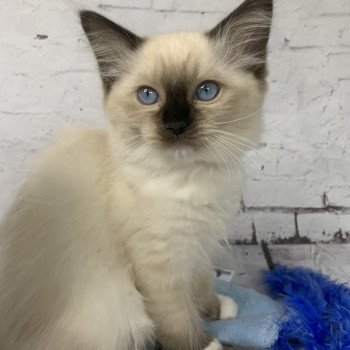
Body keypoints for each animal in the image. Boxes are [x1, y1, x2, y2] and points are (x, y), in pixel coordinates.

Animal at [0, 0, 274, 350]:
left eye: (206, 91)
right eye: (147, 96)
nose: (176, 125)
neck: (189, 178)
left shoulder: (198, 243)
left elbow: (200, 281)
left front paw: (214, 308)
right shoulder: (158, 264)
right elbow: (177, 315)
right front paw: (205, 342)